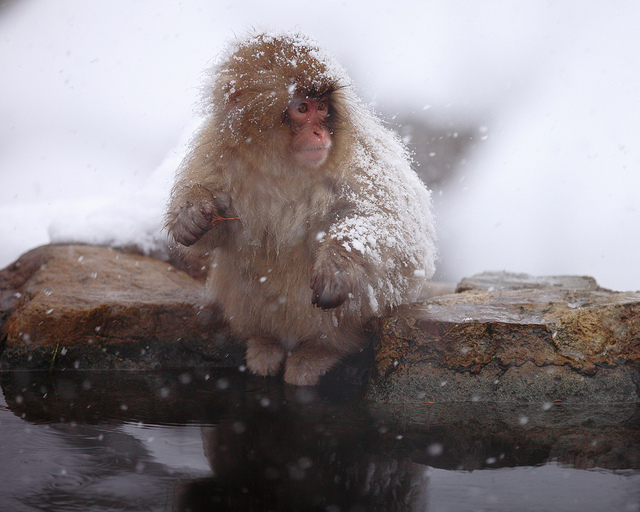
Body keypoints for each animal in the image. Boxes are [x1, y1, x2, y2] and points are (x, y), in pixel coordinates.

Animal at [165, 31, 438, 384]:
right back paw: (264, 342)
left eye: (322, 108)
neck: (280, 165)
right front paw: (190, 215)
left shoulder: (360, 152)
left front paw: (336, 267)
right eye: (302, 108)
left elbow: (391, 226)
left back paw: (322, 351)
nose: (319, 131)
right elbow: (216, 231)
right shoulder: (217, 147)